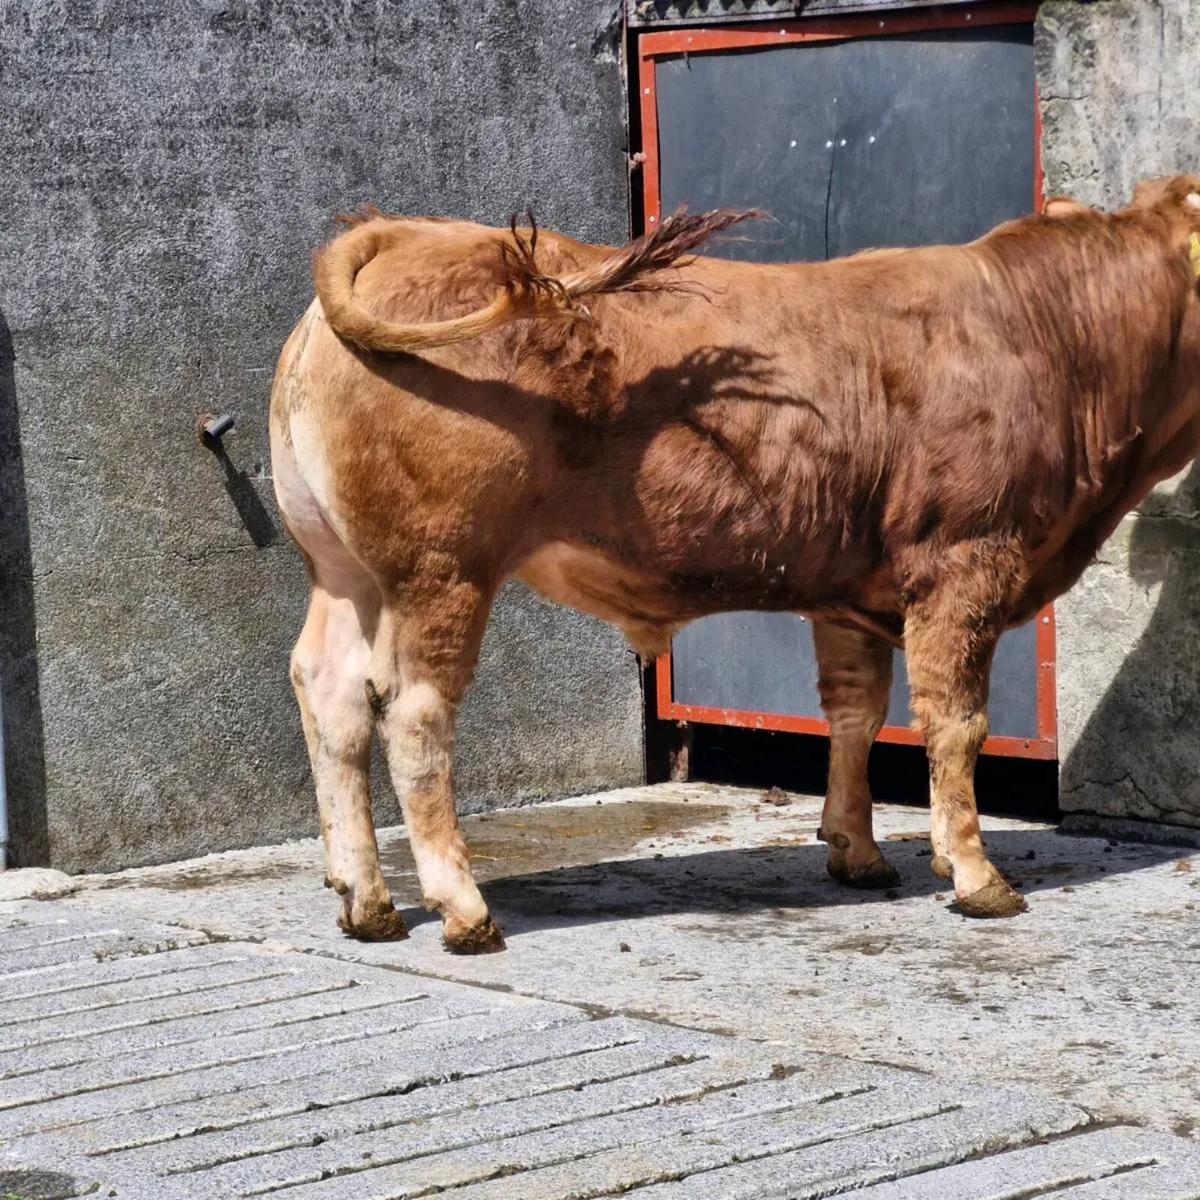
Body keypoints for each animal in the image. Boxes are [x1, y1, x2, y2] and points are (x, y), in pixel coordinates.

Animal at [270, 175, 1200, 953]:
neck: (1049, 334)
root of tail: (408, 233)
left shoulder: (849, 590)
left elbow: (857, 713)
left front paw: (857, 851)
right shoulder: (964, 560)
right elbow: (955, 722)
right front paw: (975, 875)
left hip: (344, 572)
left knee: (330, 694)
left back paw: (366, 900)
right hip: (442, 570)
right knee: (414, 716)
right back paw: (462, 908)